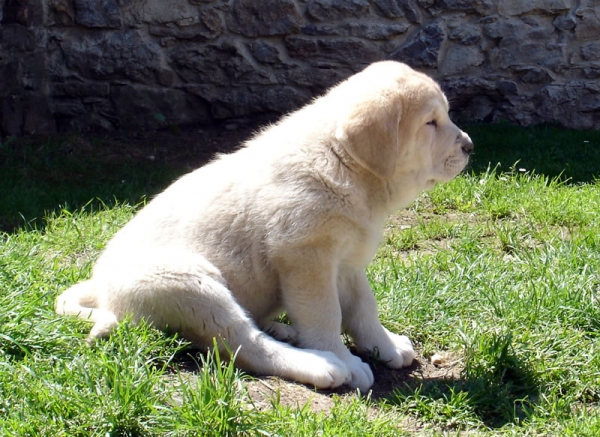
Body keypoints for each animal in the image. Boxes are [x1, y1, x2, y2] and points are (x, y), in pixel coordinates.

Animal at [54, 59, 472, 390]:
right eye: (431, 122)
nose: (469, 146)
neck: (342, 163)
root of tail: (103, 292)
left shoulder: (348, 264)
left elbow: (364, 310)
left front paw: (384, 346)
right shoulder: (306, 258)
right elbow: (326, 315)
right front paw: (346, 361)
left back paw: (284, 330)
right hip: (187, 280)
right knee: (241, 343)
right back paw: (318, 363)